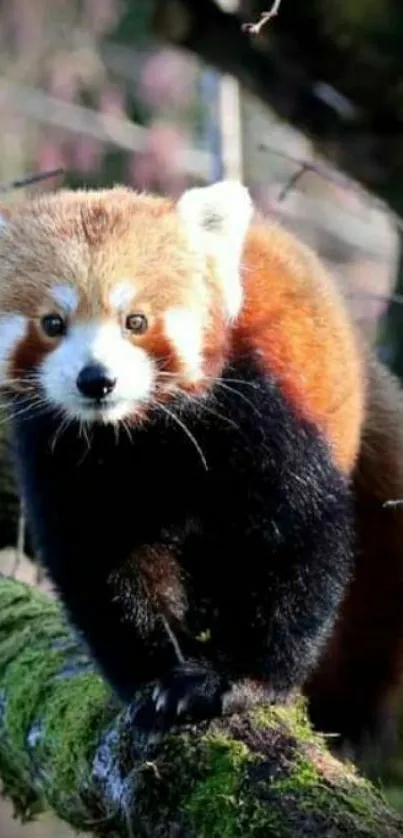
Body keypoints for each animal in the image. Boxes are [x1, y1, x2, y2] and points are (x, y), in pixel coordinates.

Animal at [0, 179, 382, 748]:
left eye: (136, 321)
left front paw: (232, 679)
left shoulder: (254, 409)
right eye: (52, 323)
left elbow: (298, 536)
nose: (97, 380)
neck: (134, 435)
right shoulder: (60, 453)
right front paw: (154, 677)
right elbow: (104, 562)